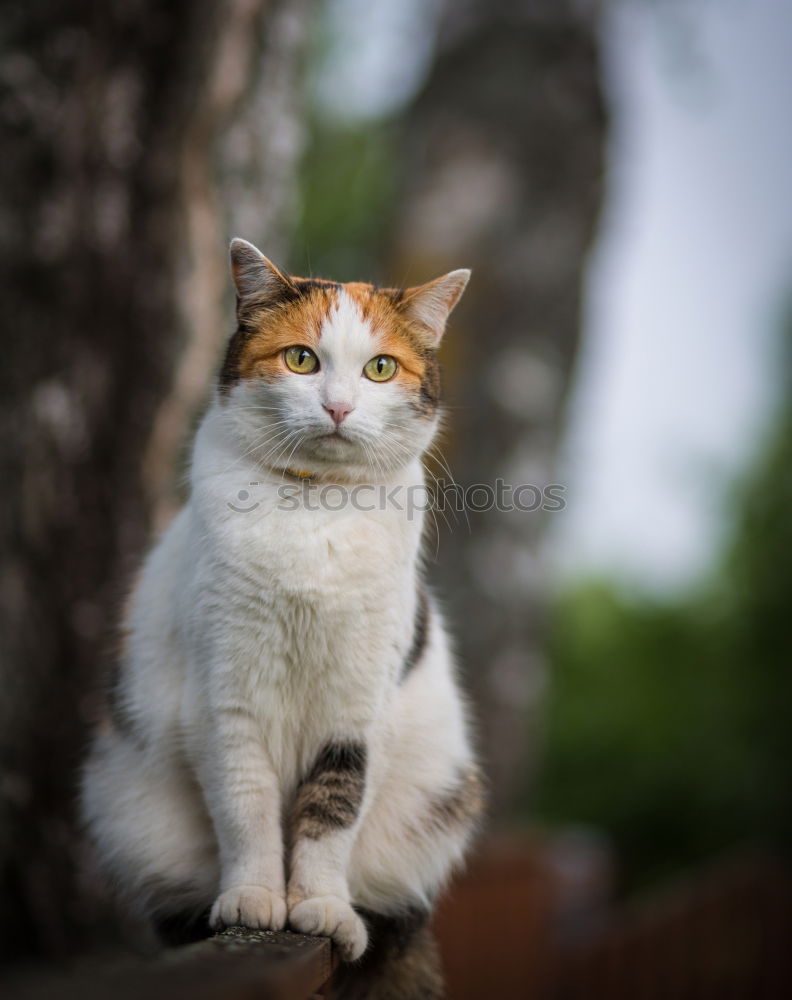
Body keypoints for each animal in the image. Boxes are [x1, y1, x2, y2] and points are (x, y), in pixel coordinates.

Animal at [79, 238, 482, 996]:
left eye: (381, 368)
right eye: (301, 359)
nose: (339, 407)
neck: (313, 509)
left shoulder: (359, 709)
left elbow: (334, 810)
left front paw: (320, 907)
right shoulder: (224, 699)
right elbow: (247, 807)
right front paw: (255, 901)